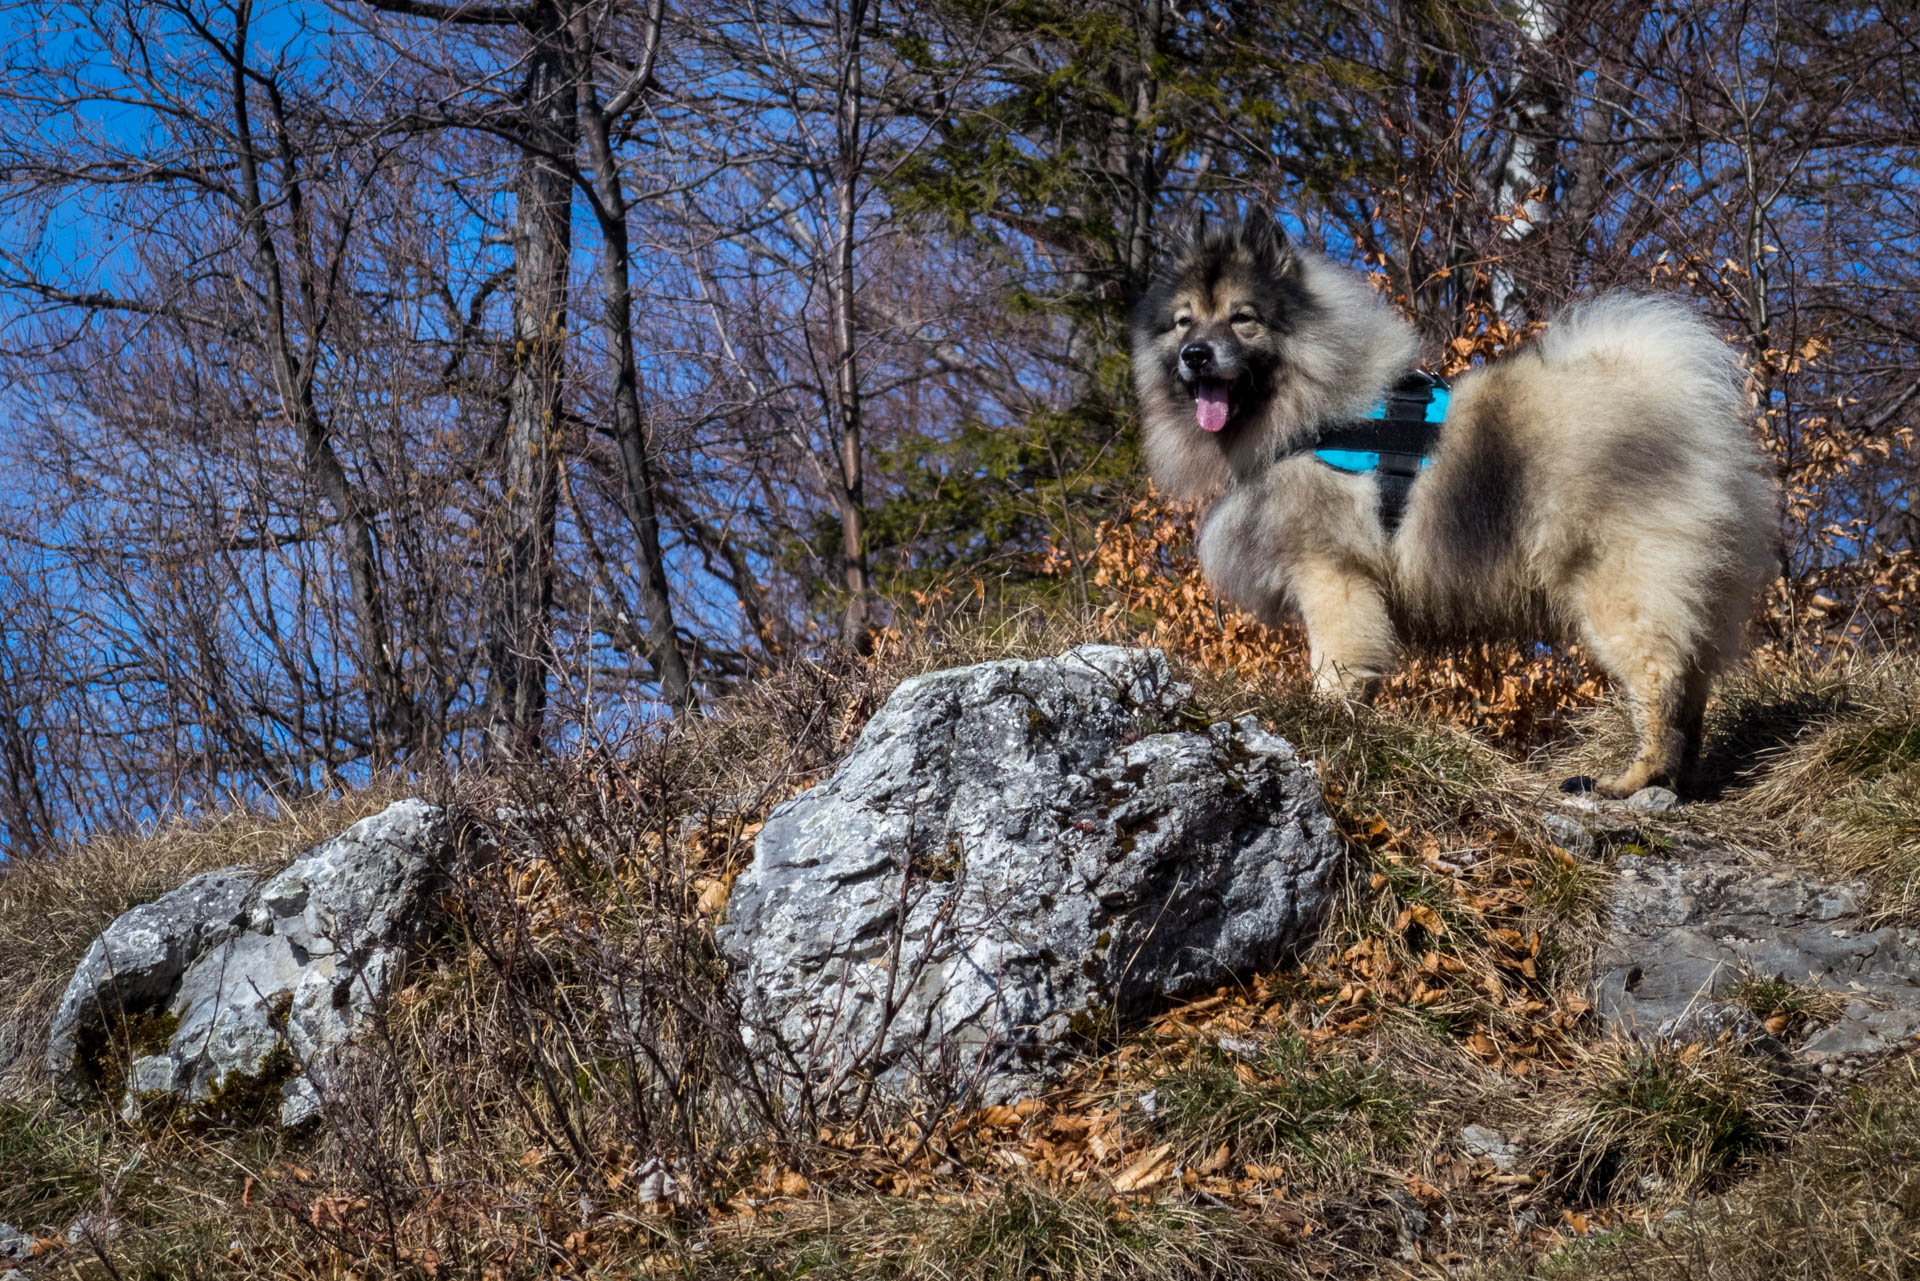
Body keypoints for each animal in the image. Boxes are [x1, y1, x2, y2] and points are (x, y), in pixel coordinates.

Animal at [1128, 211, 1774, 795]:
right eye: (1184, 323)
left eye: (1243, 319)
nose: (1196, 354)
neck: (1316, 410)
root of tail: (1689, 418)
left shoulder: (1331, 575)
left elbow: (1335, 665)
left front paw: (1326, 722)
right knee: (1691, 690)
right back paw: (1673, 783)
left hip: (1621, 588)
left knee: (1659, 682)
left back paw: (1628, 780)